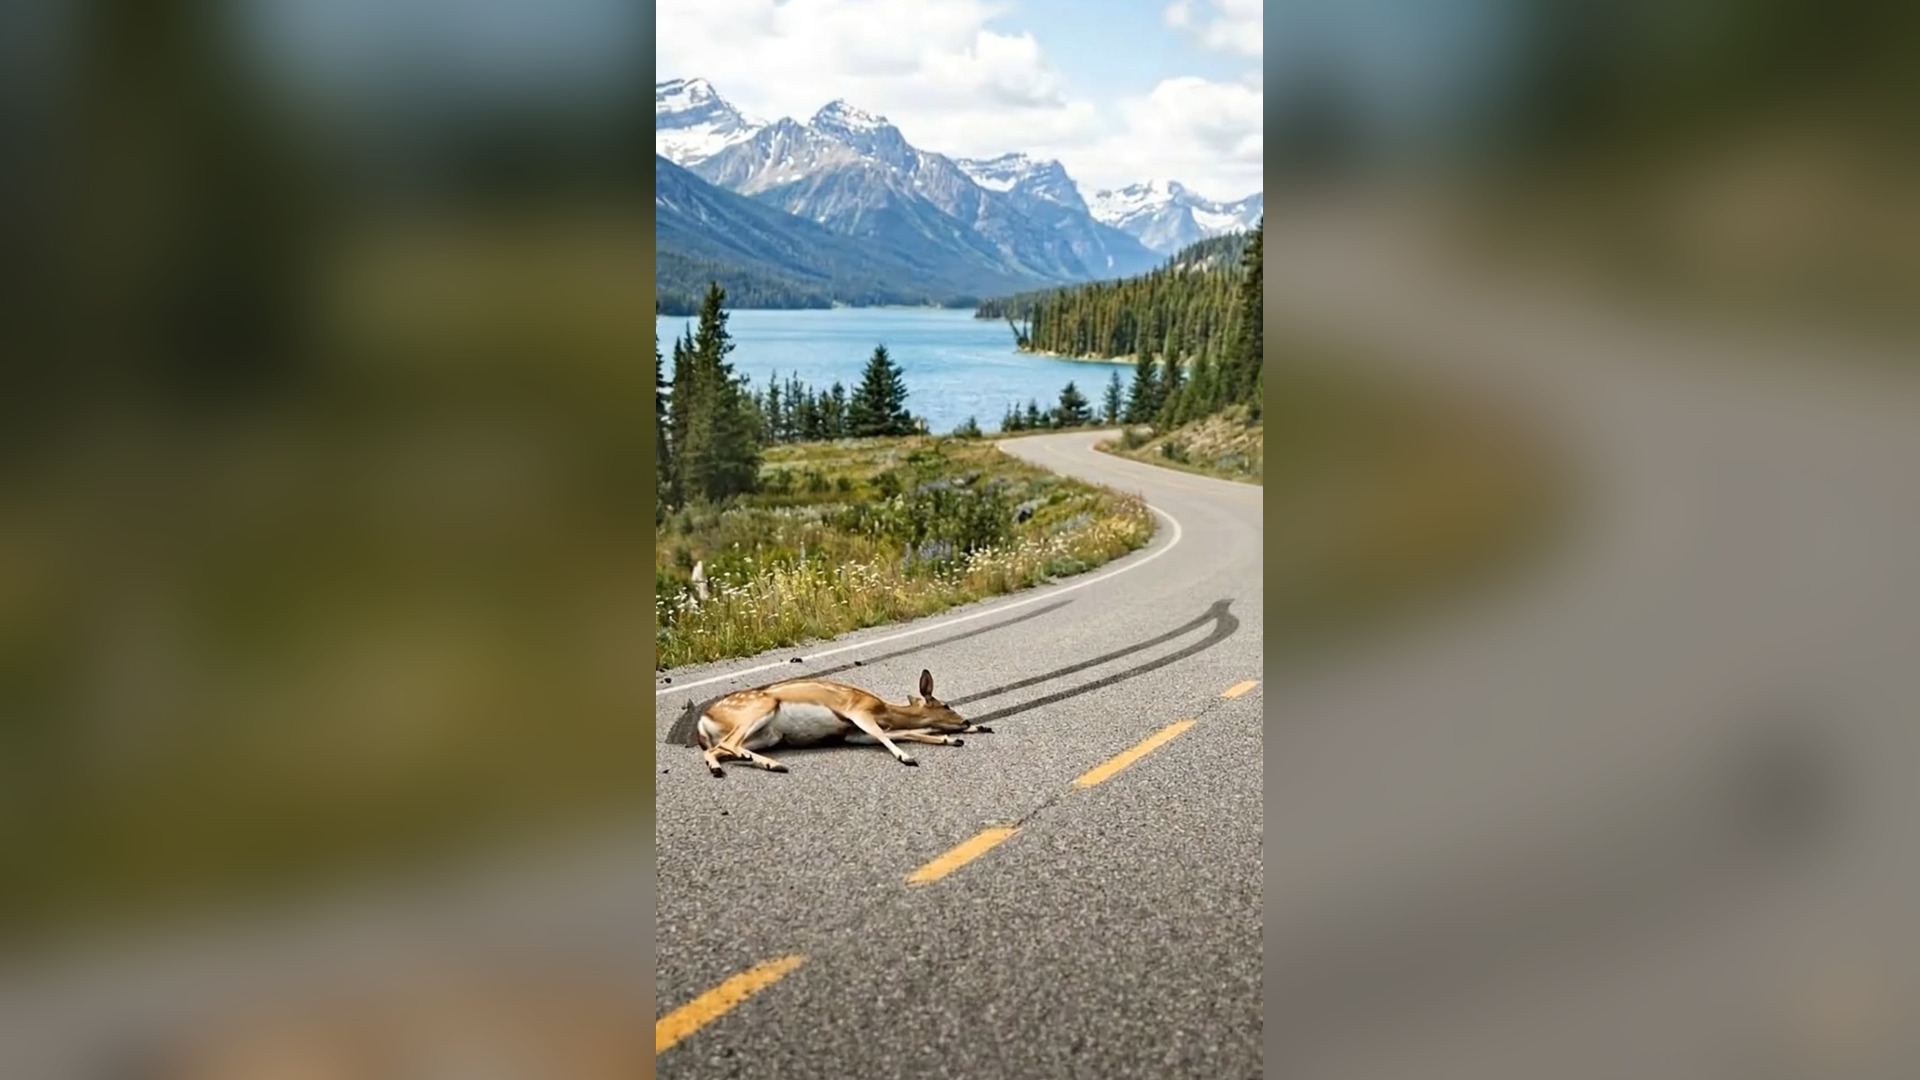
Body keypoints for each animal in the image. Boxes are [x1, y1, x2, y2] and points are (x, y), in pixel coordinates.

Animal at [693, 669, 990, 777]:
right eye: (947, 705)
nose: (966, 720)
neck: (885, 710)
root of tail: (702, 724)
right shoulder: (858, 711)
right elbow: (887, 736)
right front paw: (906, 757)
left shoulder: (854, 734)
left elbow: (907, 732)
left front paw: (952, 738)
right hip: (758, 708)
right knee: (730, 743)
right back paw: (771, 763)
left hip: (767, 736)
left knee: (717, 748)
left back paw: (723, 767)